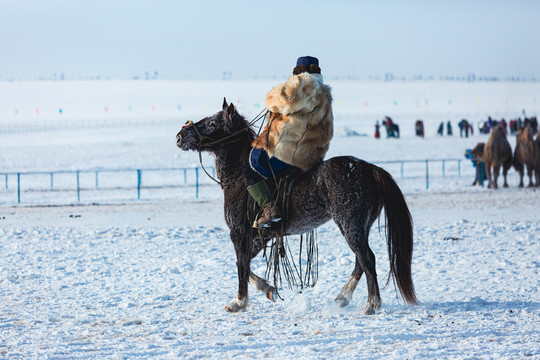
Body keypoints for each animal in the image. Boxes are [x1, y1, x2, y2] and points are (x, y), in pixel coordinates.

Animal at [177, 99, 418, 316]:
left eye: (213, 123)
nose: (180, 135)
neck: (238, 179)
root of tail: (370, 168)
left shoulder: (238, 233)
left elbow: (241, 266)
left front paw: (239, 302)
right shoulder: (258, 238)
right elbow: (246, 266)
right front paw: (268, 289)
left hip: (350, 225)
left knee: (367, 258)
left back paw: (371, 304)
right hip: (361, 226)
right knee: (360, 262)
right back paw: (342, 298)